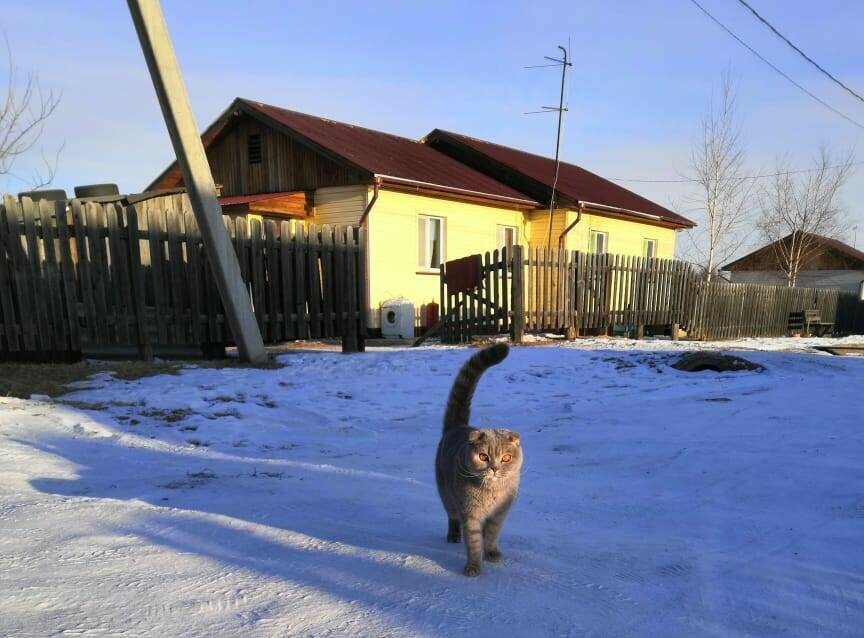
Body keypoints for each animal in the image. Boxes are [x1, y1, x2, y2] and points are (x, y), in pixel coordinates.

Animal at [436, 344, 524, 580]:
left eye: (506, 458)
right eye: (483, 456)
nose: (494, 468)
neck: (492, 494)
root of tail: (457, 427)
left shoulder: (499, 514)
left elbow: (492, 535)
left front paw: (492, 553)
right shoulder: (471, 515)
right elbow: (474, 542)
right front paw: (473, 567)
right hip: (447, 496)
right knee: (452, 516)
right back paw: (453, 535)